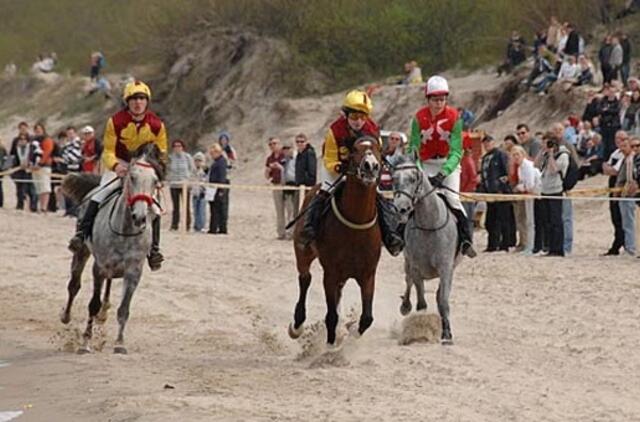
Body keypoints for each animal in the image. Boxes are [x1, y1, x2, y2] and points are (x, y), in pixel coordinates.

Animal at [60, 143, 162, 354]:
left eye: (155, 181)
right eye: (132, 177)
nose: (140, 217)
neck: (125, 230)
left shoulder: (133, 271)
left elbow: (124, 309)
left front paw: (119, 344)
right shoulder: (99, 267)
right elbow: (92, 304)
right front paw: (85, 342)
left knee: (107, 288)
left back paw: (104, 313)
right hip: (82, 253)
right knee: (74, 285)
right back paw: (66, 316)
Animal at [292, 137, 384, 344]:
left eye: (378, 149)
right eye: (355, 150)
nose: (371, 166)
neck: (356, 222)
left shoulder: (368, 274)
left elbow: (367, 318)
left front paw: (350, 332)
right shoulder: (331, 273)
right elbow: (331, 316)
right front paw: (330, 346)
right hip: (303, 251)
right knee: (305, 278)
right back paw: (296, 326)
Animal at [392, 153, 462, 344]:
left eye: (413, 178)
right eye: (394, 179)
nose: (400, 209)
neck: (429, 225)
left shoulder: (446, 268)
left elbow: (443, 301)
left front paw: (447, 335)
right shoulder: (416, 267)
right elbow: (421, 302)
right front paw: (419, 330)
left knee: (439, 294)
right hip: (407, 262)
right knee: (408, 282)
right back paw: (405, 306)